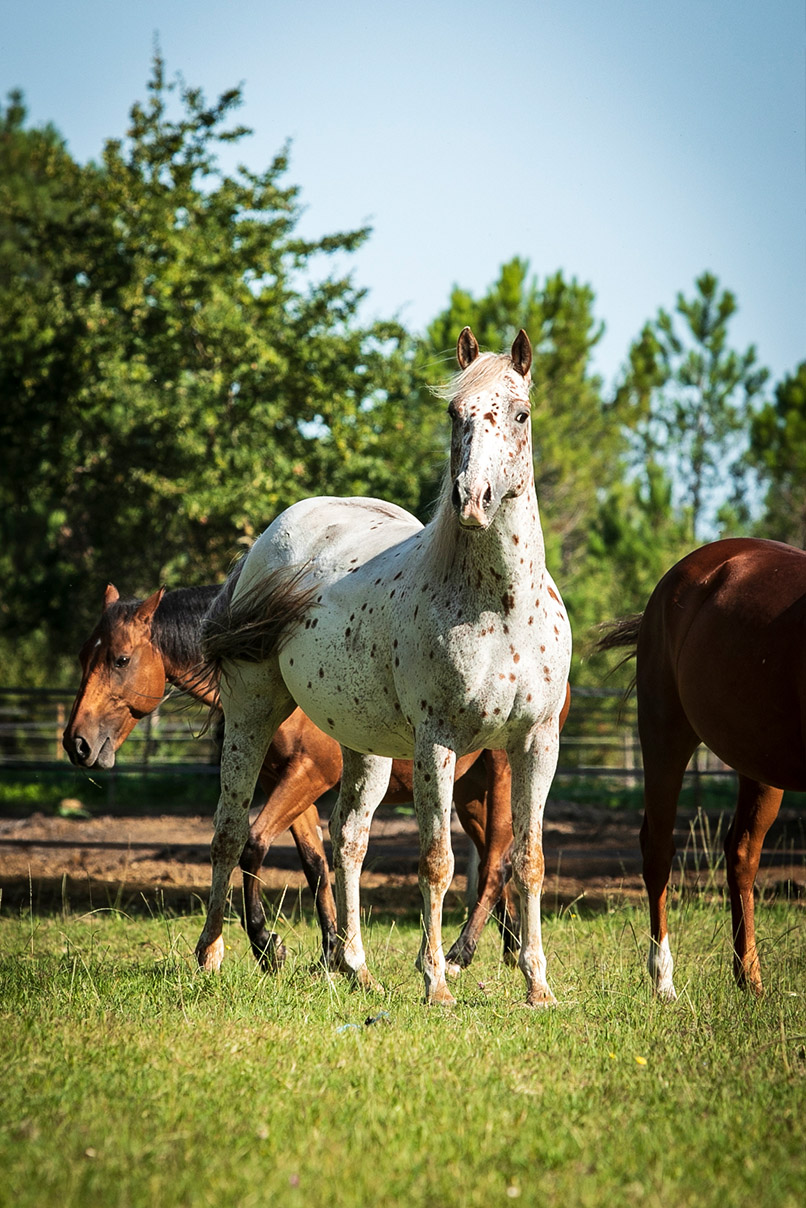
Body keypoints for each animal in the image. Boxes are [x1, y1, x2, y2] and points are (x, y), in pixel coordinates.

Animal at [63, 579, 558, 966]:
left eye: (121, 659)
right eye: (84, 655)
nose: (76, 742)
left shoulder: (309, 775)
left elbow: (255, 845)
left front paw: (267, 945)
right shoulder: (288, 783)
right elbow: (315, 864)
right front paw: (331, 951)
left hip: (504, 777)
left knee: (496, 865)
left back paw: (460, 953)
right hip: (467, 792)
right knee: (495, 862)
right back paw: (507, 946)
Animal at [198, 326, 570, 1005]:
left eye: (521, 414)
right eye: (455, 415)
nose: (472, 500)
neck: (499, 607)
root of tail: (274, 534)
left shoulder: (536, 742)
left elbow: (527, 861)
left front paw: (538, 987)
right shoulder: (436, 742)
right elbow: (437, 861)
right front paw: (436, 982)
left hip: (362, 744)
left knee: (348, 839)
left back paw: (355, 966)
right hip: (251, 710)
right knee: (231, 829)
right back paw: (211, 952)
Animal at [596, 538, 806, 1000]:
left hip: (756, 762)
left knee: (742, 853)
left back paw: (749, 981)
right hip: (666, 736)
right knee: (658, 850)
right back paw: (663, 979)